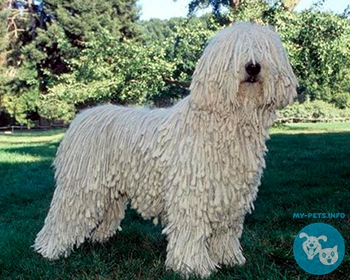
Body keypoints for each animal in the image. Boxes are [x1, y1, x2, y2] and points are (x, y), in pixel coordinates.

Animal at [33, 21, 298, 278]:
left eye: (262, 49)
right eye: (235, 52)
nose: (253, 67)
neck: (228, 122)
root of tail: (82, 117)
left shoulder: (231, 195)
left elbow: (226, 231)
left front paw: (229, 259)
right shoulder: (192, 193)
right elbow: (192, 230)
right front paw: (193, 267)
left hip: (109, 189)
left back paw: (97, 240)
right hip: (82, 184)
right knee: (63, 216)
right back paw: (49, 250)